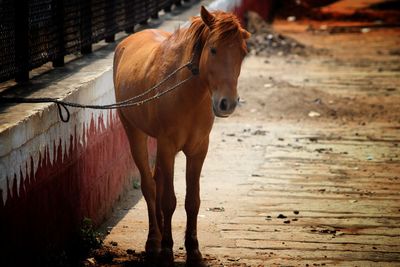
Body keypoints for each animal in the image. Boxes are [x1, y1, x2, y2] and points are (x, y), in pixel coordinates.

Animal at [113, 5, 250, 266]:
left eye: (243, 53)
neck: (187, 92)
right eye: (213, 49)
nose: (227, 103)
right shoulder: (167, 147)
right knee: (150, 186)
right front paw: (167, 249)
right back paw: (153, 241)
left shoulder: (198, 150)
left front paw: (193, 250)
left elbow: (192, 201)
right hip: (133, 132)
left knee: (157, 181)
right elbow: (169, 201)